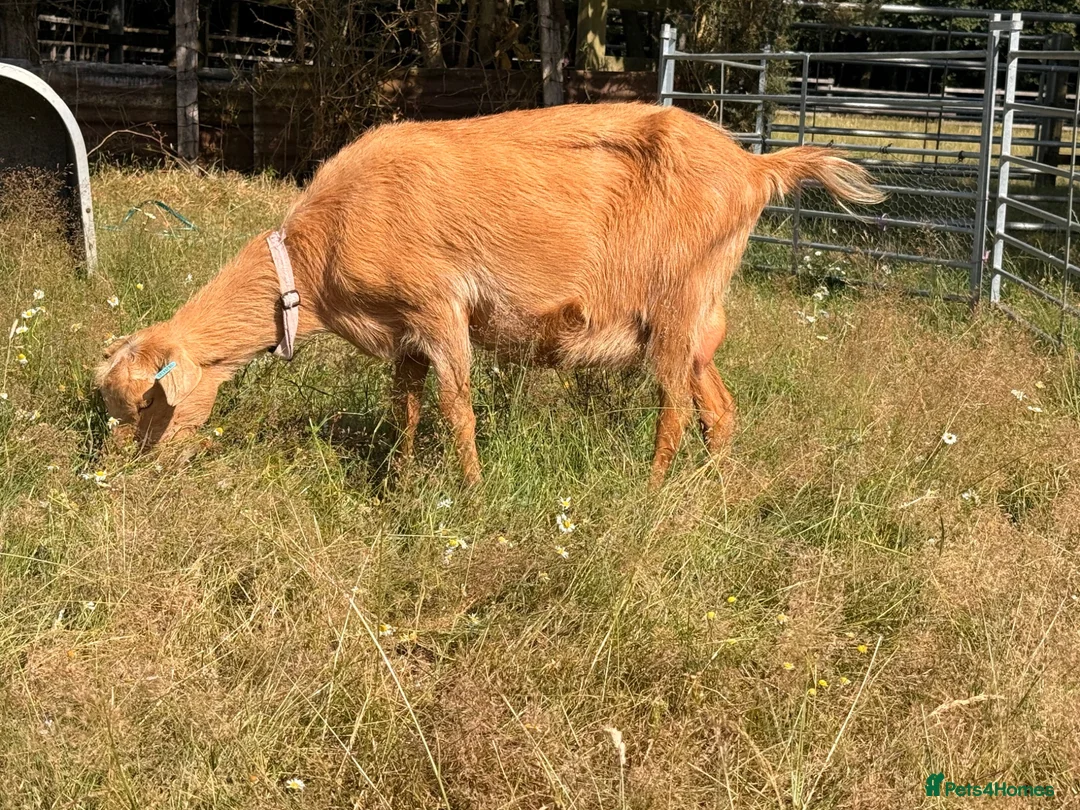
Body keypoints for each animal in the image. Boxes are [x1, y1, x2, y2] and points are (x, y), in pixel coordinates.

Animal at [96, 102, 883, 486]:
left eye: (148, 406)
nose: (124, 470)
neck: (319, 253)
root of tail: (755, 168)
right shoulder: (403, 332)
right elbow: (407, 410)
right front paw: (401, 484)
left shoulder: (439, 307)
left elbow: (457, 411)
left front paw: (470, 497)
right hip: (696, 325)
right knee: (719, 409)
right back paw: (708, 491)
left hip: (676, 308)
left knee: (677, 412)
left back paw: (651, 495)